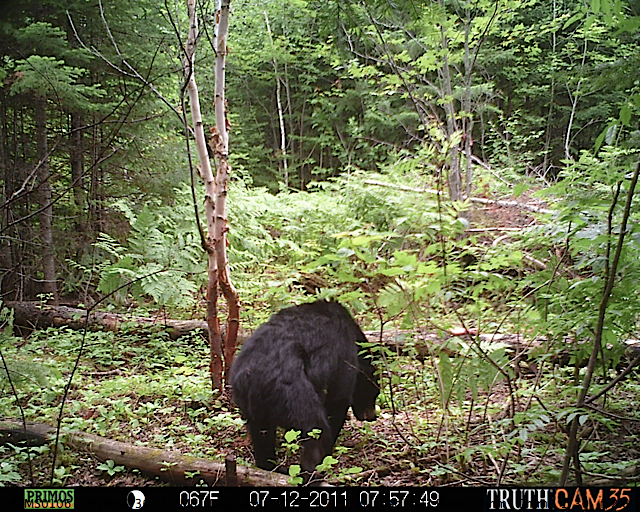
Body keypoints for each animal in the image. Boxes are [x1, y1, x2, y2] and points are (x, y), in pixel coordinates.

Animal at [231, 302, 378, 474]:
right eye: (374, 393)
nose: (373, 416)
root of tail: (250, 375)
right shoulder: (343, 352)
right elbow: (338, 399)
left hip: (249, 402)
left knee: (261, 434)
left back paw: (270, 467)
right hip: (292, 395)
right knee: (316, 432)